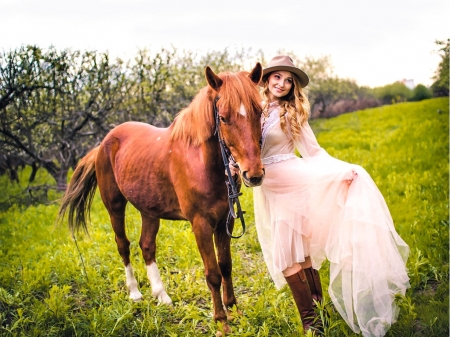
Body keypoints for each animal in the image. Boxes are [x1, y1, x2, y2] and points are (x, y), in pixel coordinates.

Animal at [58, 63, 266, 330]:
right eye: (223, 117)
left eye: (259, 111)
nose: (254, 173)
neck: (202, 163)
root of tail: (104, 143)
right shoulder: (201, 225)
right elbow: (212, 273)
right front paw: (221, 321)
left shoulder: (224, 222)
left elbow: (226, 266)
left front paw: (234, 311)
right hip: (115, 207)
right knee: (123, 245)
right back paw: (135, 293)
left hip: (149, 210)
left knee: (147, 246)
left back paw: (161, 295)